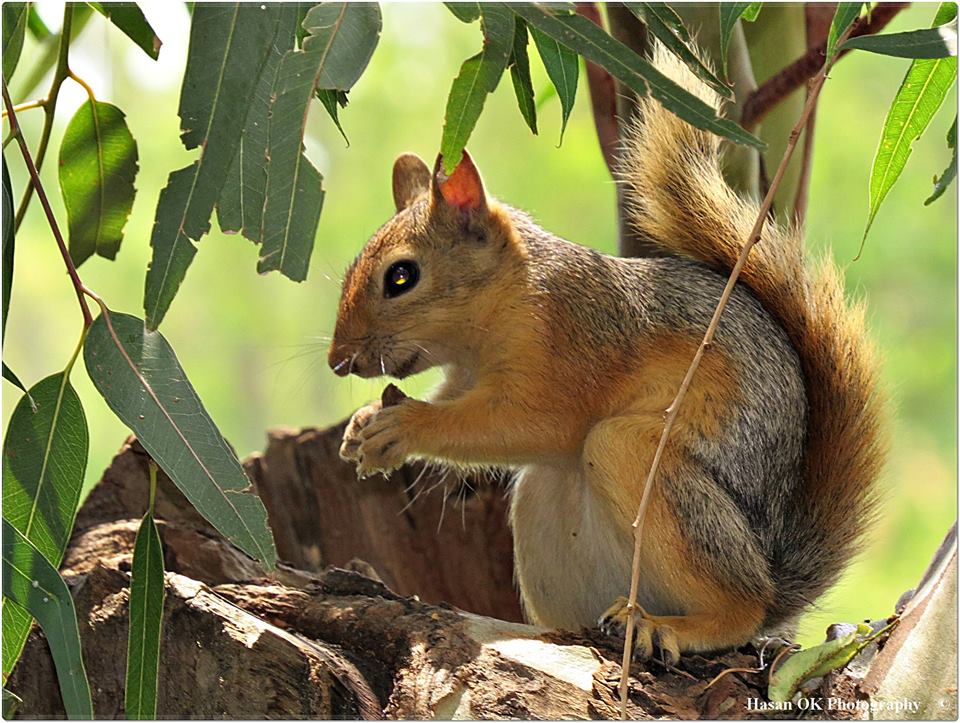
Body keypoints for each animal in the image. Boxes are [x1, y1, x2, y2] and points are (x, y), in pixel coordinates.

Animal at [330, 46, 884, 668]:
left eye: (401, 276)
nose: (337, 360)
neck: (504, 307)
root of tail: (775, 584)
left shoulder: (572, 351)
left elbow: (521, 423)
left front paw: (404, 425)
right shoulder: (465, 374)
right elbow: (456, 402)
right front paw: (362, 426)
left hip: (639, 460)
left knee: (739, 607)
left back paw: (671, 626)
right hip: (551, 510)